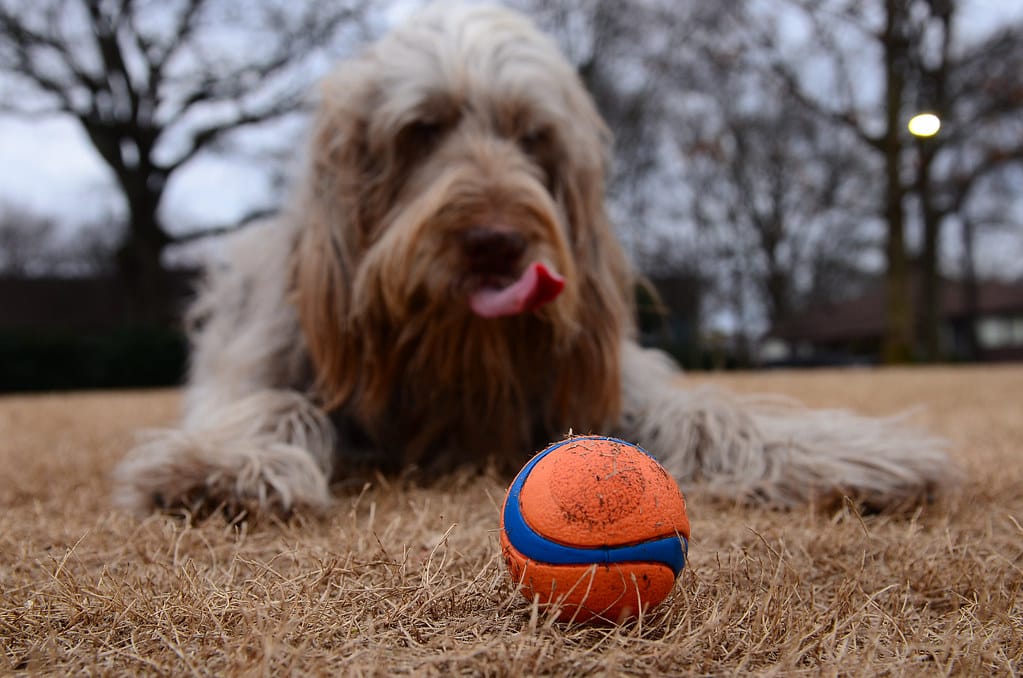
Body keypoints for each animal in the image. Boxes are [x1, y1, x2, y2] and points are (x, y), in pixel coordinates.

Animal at [117, 2, 949, 517]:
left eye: (533, 136)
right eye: (421, 129)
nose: (496, 242)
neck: (454, 353)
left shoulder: (588, 383)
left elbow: (708, 410)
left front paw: (852, 454)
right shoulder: (275, 361)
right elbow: (269, 401)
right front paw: (224, 463)